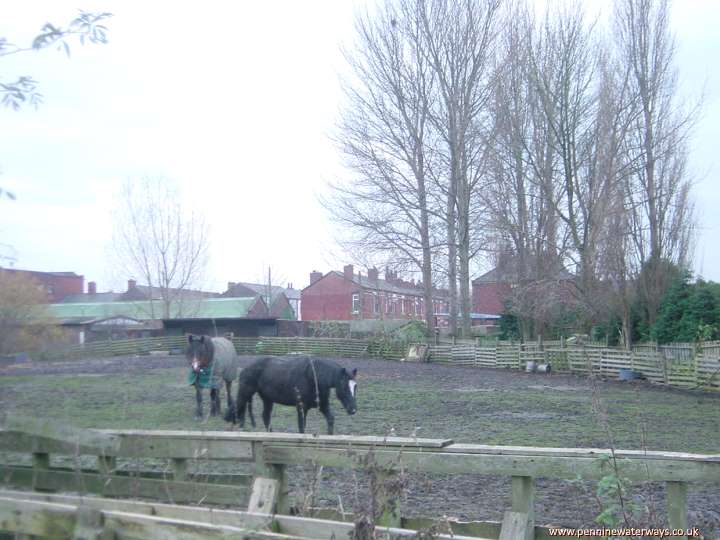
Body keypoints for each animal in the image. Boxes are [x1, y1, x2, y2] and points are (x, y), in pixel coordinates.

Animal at [228, 354, 358, 434]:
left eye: (355, 387)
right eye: (344, 386)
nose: (353, 410)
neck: (314, 376)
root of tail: (245, 369)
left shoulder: (323, 405)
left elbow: (330, 419)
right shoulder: (301, 408)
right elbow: (301, 428)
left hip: (267, 399)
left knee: (265, 416)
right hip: (245, 394)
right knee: (236, 411)